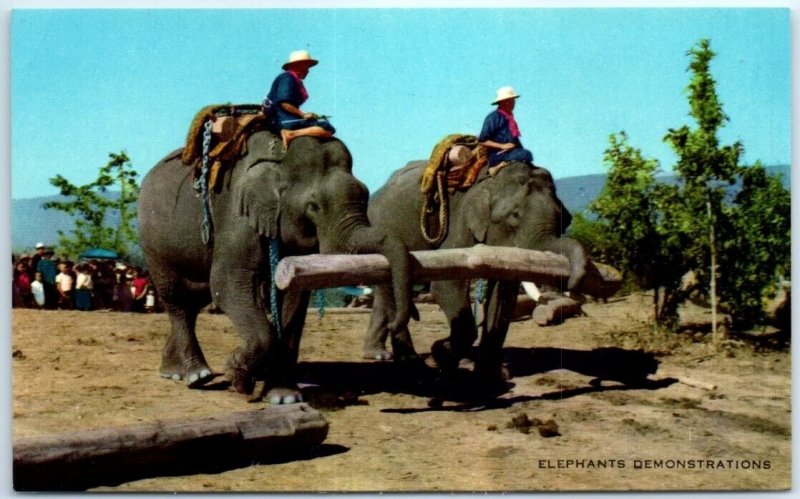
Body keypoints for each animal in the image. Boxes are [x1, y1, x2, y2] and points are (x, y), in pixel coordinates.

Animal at [138, 131, 412, 404]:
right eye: (313, 206)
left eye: (366, 196)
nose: (393, 326)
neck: (279, 156)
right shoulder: (238, 216)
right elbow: (227, 283)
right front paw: (237, 374)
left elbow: (294, 293)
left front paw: (284, 397)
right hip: (153, 243)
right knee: (176, 298)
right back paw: (196, 375)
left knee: (195, 298)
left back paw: (172, 371)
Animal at [364, 160, 588, 394]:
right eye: (515, 215)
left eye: (565, 220)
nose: (573, 285)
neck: (491, 181)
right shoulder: (460, 221)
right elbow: (447, 285)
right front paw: (441, 354)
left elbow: (503, 295)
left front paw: (489, 379)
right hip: (382, 228)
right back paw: (416, 370)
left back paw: (379, 353)